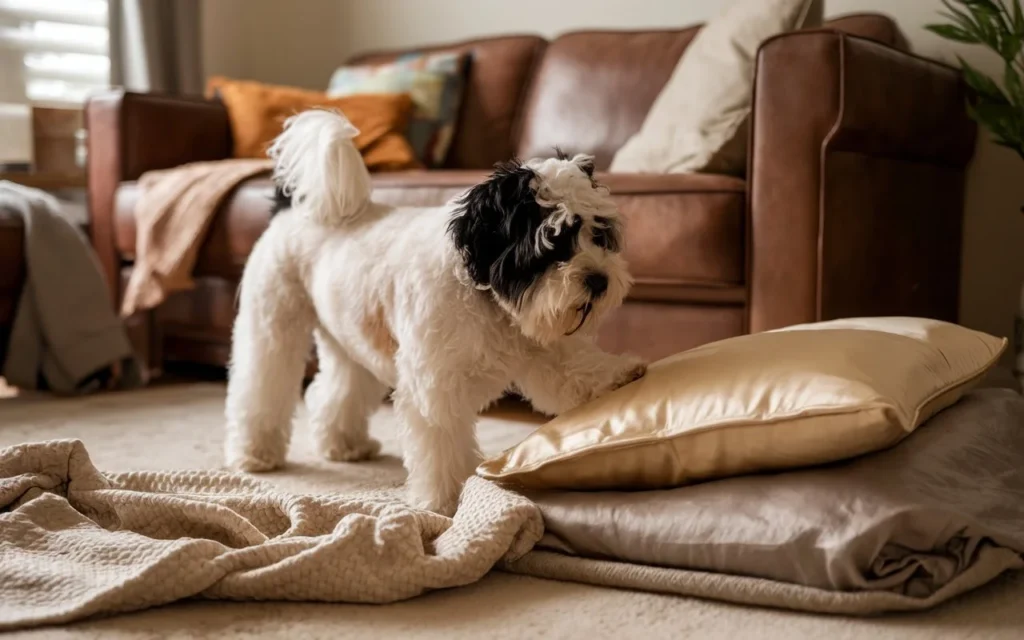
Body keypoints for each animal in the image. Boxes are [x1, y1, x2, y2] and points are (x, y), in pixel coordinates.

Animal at [227, 107, 643, 512]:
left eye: (598, 234)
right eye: (553, 241)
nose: (599, 280)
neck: (485, 297)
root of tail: (290, 210)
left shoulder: (544, 350)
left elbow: (578, 370)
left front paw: (619, 375)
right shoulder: (436, 386)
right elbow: (443, 446)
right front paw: (451, 499)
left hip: (350, 340)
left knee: (335, 389)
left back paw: (343, 444)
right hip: (273, 328)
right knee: (260, 385)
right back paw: (256, 452)